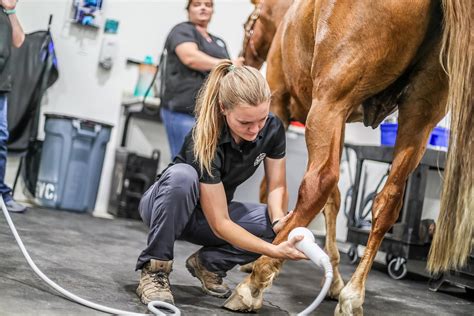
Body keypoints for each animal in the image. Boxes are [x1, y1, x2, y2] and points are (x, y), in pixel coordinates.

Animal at [225, 0, 470, 314]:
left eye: (248, 25)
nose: (243, 60)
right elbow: (335, 201)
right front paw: (335, 280)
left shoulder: (280, 106)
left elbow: (272, 187)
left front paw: (259, 259)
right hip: (419, 119)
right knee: (386, 201)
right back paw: (352, 294)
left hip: (330, 103)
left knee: (318, 183)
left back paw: (257, 279)